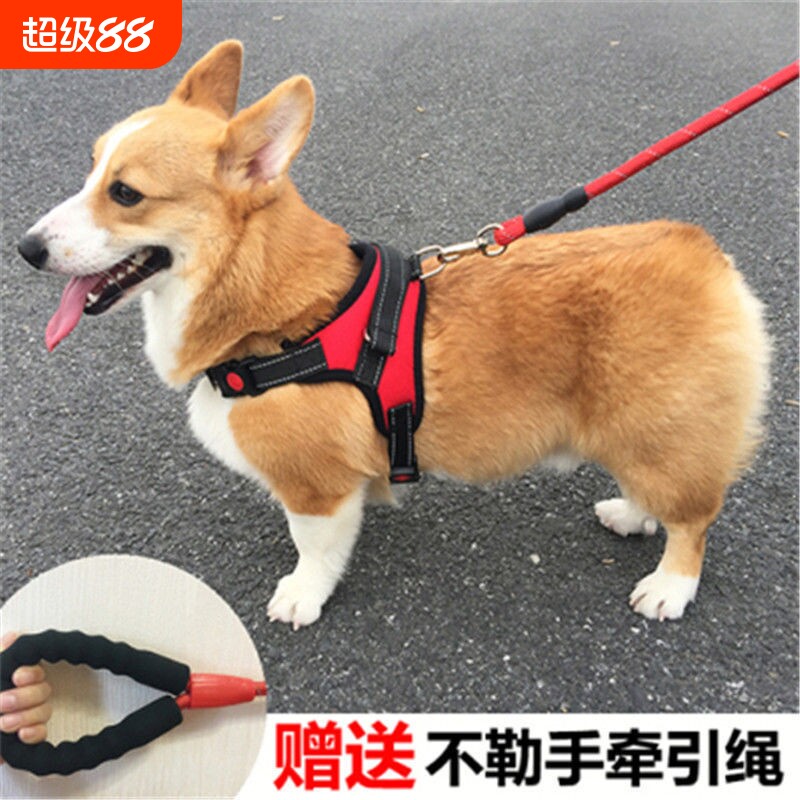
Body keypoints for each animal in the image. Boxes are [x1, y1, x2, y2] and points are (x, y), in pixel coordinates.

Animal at [18, 41, 770, 628]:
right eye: (90, 169)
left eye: (125, 194)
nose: (25, 248)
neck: (272, 320)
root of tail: (704, 256)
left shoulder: (315, 488)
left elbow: (313, 549)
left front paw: (301, 597)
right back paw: (632, 514)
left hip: (657, 427)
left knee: (695, 517)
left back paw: (669, 586)